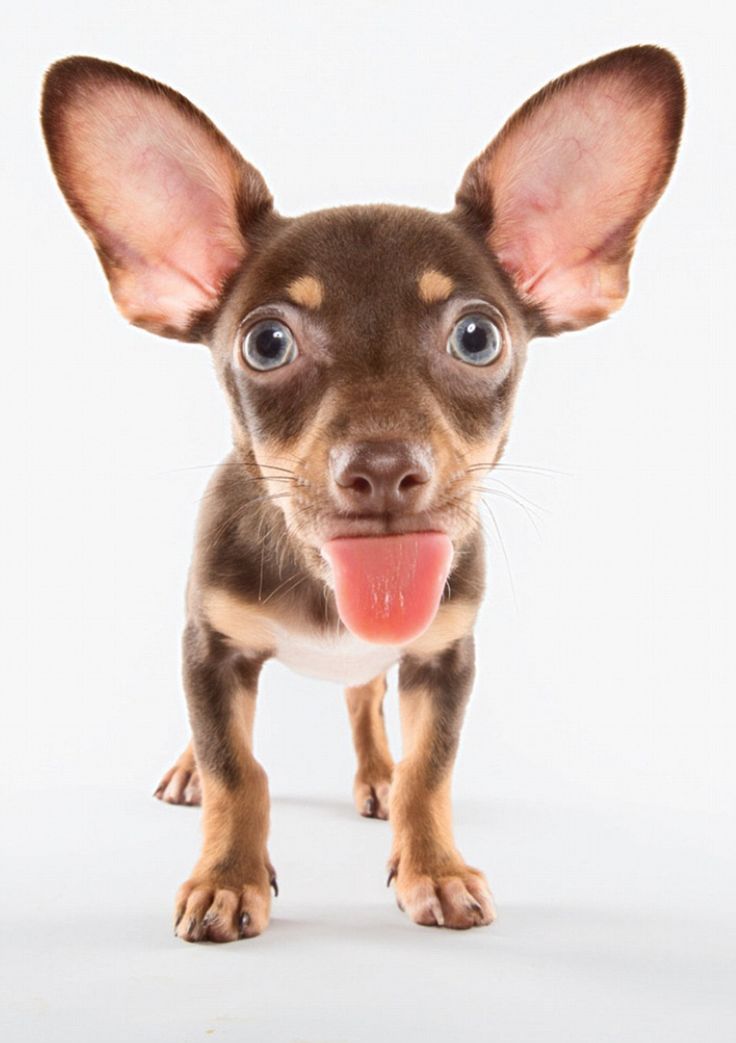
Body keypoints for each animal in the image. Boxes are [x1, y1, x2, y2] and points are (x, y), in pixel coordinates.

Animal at [40, 44, 683, 942]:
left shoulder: (444, 656)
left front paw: (434, 866)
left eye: (477, 337)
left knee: (362, 700)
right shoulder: (210, 648)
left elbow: (429, 769)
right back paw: (190, 769)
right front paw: (226, 876)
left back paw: (375, 771)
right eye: (266, 344)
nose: (381, 467)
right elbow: (237, 766)